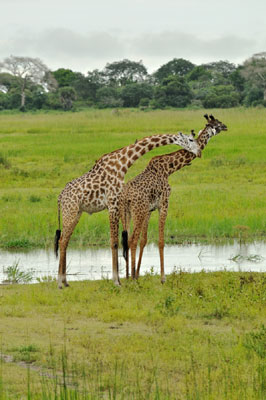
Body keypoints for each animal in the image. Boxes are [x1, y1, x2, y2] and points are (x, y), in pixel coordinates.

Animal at [53, 131, 200, 288]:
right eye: (190, 139)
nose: (198, 151)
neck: (123, 163)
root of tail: (60, 197)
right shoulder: (112, 203)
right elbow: (114, 242)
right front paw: (116, 281)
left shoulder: (116, 203)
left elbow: (118, 240)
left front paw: (119, 279)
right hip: (70, 211)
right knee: (62, 240)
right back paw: (60, 283)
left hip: (76, 213)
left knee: (65, 240)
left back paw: (65, 282)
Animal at [120, 115, 227, 284]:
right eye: (216, 124)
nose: (225, 127)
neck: (168, 169)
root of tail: (125, 197)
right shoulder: (164, 204)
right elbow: (161, 241)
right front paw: (163, 278)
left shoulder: (150, 209)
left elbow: (144, 240)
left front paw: (137, 273)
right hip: (138, 211)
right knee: (131, 240)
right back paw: (131, 279)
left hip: (127, 213)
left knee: (126, 240)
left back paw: (127, 276)